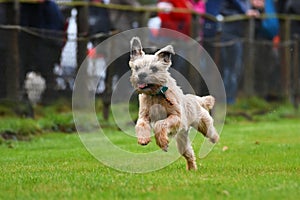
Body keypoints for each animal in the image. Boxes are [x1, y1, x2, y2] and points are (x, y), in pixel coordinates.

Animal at [128, 36, 218, 170]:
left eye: (154, 69)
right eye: (137, 68)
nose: (141, 75)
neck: (156, 94)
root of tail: (195, 99)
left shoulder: (177, 116)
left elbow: (160, 123)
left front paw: (162, 142)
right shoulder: (144, 115)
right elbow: (141, 124)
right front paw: (143, 139)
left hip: (203, 123)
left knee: (211, 132)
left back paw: (215, 139)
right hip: (182, 141)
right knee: (189, 154)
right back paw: (192, 169)